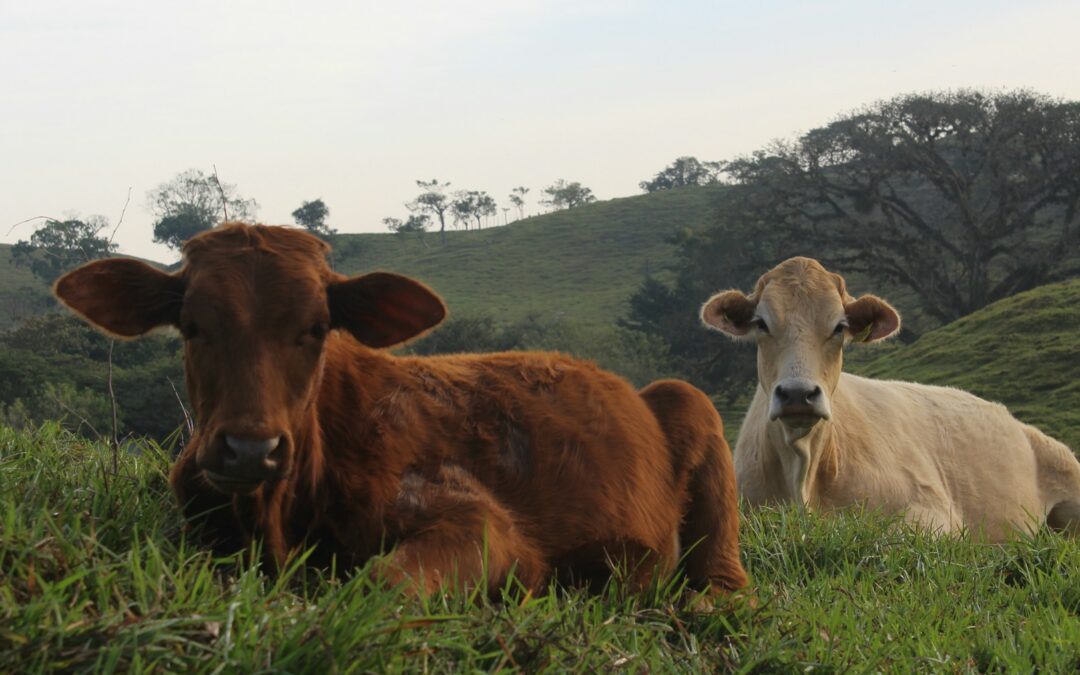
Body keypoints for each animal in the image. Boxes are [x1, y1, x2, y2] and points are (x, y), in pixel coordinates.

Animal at [54, 223, 747, 596]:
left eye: (317, 328)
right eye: (192, 325)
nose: (251, 448)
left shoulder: (485, 525)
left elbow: (381, 579)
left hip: (693, 404)